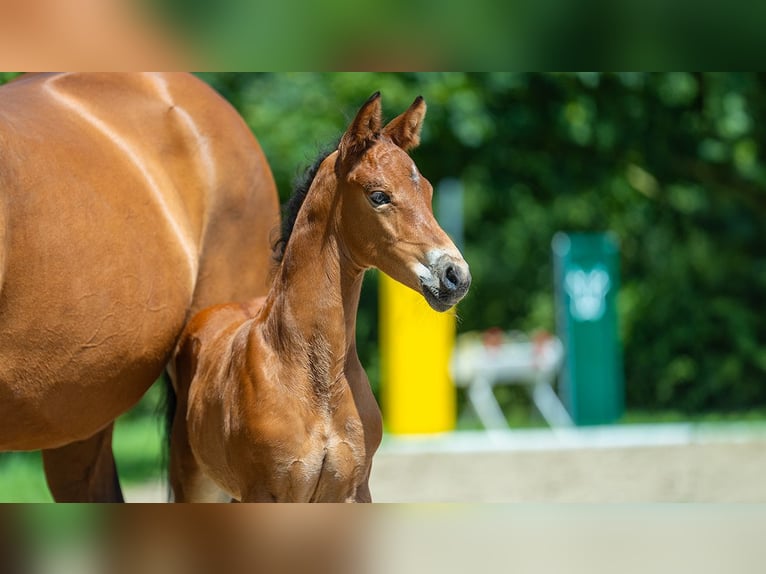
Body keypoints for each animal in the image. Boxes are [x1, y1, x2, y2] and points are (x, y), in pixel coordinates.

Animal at [170, 92, 472, 502]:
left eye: (426, 191)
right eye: (378, 196)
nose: (456, 276)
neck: (317, 378)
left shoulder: (354, 489)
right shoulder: (264, 492)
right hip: (197, 484)